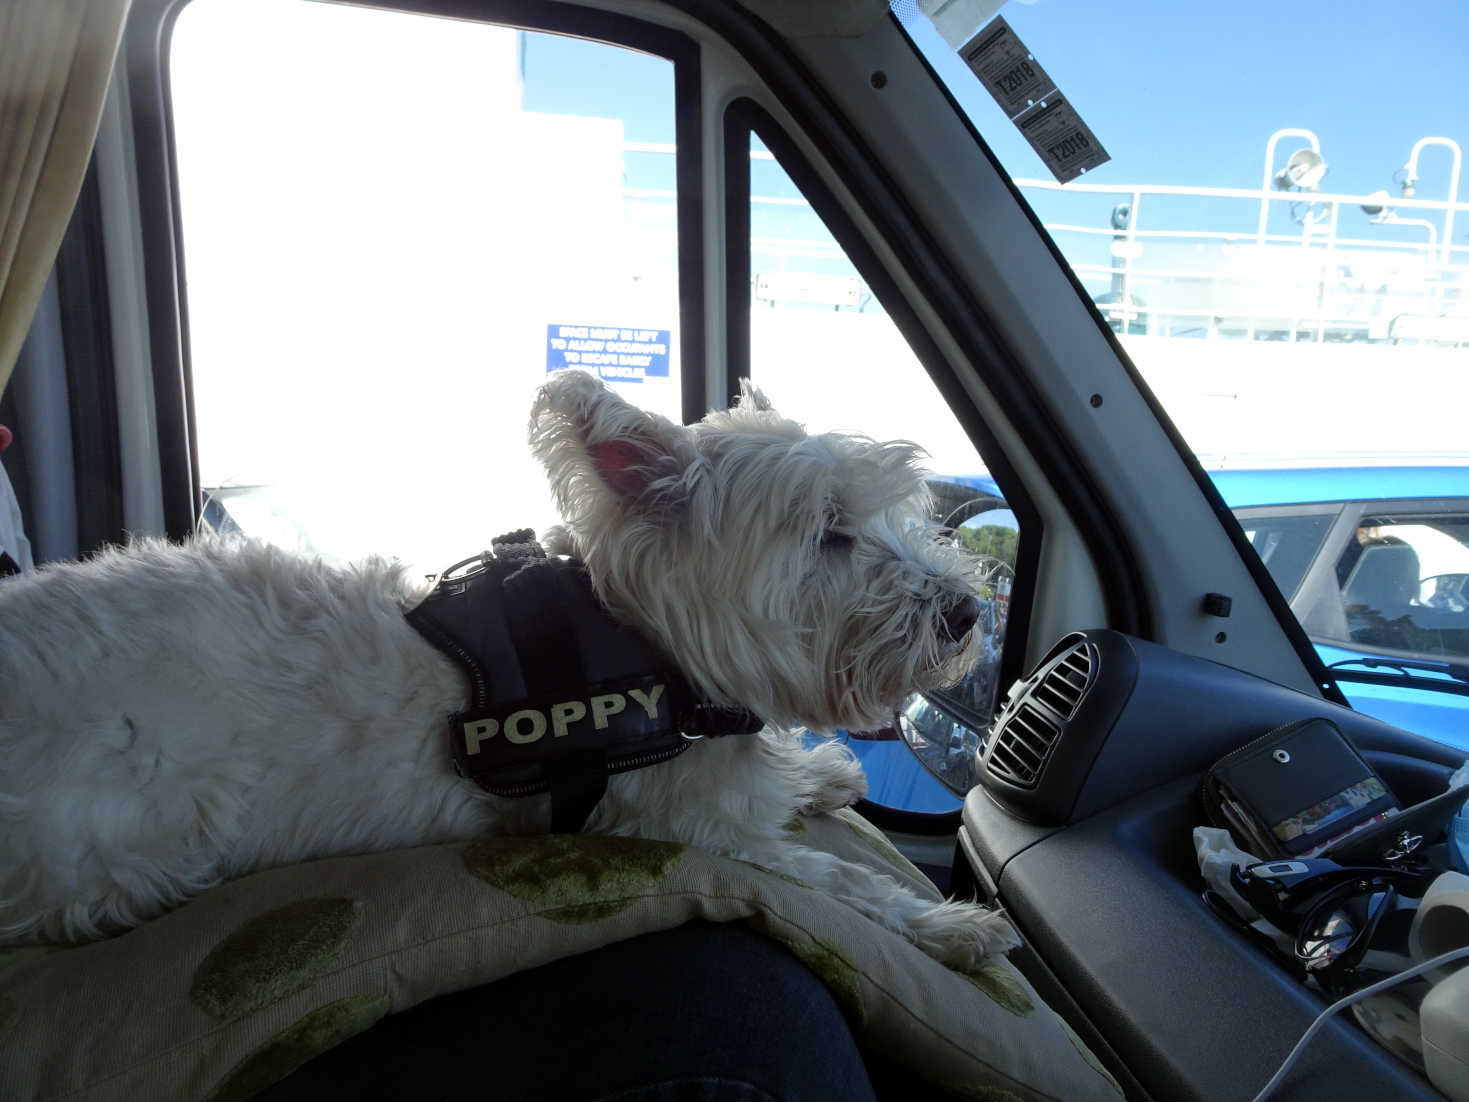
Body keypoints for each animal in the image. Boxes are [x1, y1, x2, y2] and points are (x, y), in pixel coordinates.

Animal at [0, 376, 1022, 969]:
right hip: (122, 837)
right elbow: (833, 881)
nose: (966, 614)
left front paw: (816, 773)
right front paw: (946, 925)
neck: (657, 652)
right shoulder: (680, 828)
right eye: (830, 533)